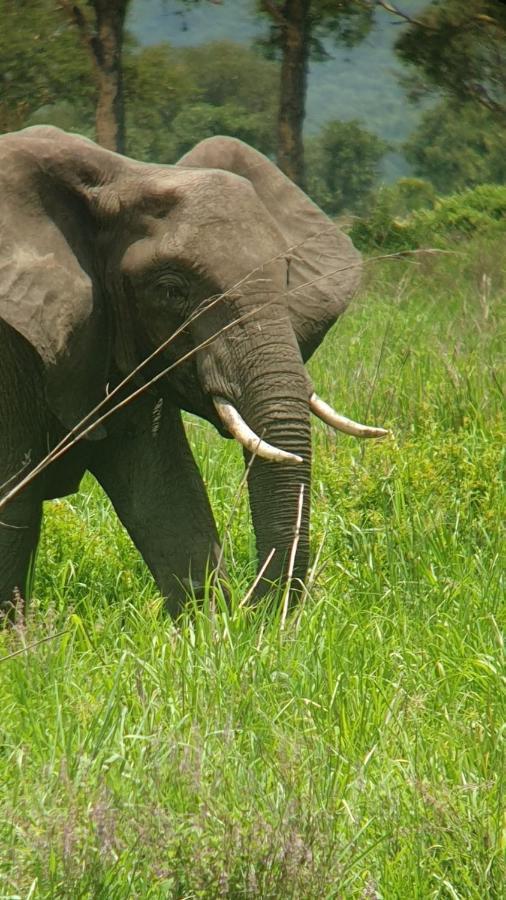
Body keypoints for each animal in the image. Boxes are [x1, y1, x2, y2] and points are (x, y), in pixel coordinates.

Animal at [0, 126, 386, 616]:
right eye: (171, 291)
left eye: (285, 277)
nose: (251, 607)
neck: (126, 174)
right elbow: (13, 509)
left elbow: (165, 495)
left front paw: (209, 627)